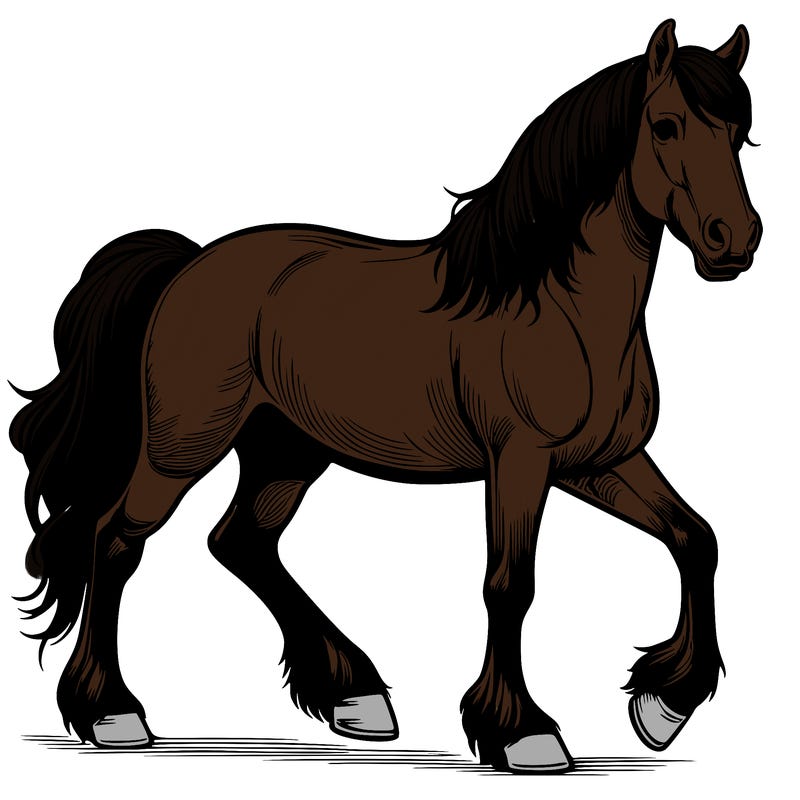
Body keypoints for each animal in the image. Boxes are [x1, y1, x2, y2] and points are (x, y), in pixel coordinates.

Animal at [10, 19, 760, 773]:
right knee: (115, 540)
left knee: (241, 542)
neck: (555, 306)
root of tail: (188, 264)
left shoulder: (599, 462)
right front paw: (522, 732)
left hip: (286, 452)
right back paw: (113, 714)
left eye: (740, 132)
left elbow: (696, 538)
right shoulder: (521, 462)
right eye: (665, 125)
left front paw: (664, 706)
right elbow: (509, 585)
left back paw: (354, 695)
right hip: (182, 448)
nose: (736, 240)